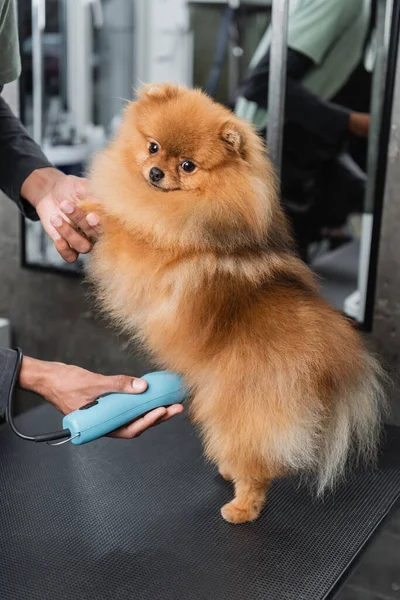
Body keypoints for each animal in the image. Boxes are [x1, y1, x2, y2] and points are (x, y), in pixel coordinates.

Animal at [80, 82, 384, 524]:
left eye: (188, 165)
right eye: (153, 146)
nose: (155, 172)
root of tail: (329, 349)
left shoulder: (147, 252)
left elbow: (123, 224)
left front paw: (88, 209)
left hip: (240, 408)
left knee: (258, 463)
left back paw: (242, 507)